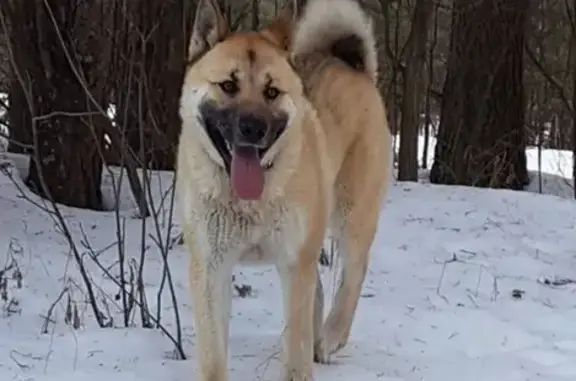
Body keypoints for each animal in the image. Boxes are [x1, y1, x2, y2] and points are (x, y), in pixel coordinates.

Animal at [174, 0, 392, 378]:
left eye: (272, 92)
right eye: (228, 85)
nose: (253, 127)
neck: (248, 202)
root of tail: (349, 65)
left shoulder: (294, 265)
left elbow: (296, 344)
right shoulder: (211, 269)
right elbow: (214, 357)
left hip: (351, 219)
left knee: (352, 277)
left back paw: (331, 336)